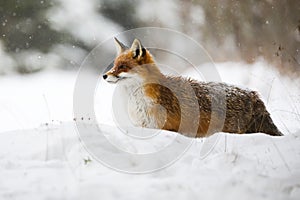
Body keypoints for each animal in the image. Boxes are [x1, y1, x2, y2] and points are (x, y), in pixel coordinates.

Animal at [102, 38, 282, 138]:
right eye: (114, 65)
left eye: (122, 67)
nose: (104, 76)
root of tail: (254, 94)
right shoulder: (143, 126)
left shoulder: (163, 127)